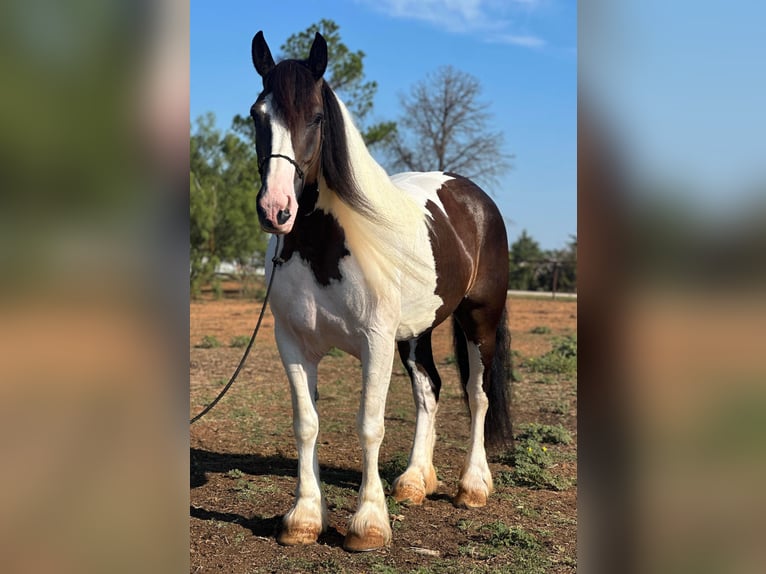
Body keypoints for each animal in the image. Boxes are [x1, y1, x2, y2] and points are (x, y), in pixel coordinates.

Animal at [254, 31, 516, 552]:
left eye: (316, 117)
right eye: (257, 114)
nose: (276, 209)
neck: (324, 244)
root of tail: (476, 200)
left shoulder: (375, 342)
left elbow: (369, 425)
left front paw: (369, 522)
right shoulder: (293, 343)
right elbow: (306, 424)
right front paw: (305, 517)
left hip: (479, 321)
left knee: (477, 396)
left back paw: (473, 486)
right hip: (415, 333)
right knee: (429, 390)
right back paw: (416, 481)